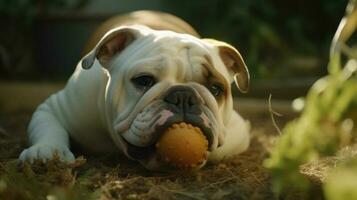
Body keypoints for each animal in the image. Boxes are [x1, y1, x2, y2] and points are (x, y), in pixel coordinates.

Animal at [18, 10, 249, 170]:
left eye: (216, 89)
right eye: (144, 80)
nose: (183, 95)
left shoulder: (237, 127)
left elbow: (218, 149)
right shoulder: (54, 108)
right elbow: (49, 128)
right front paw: (48, 152)